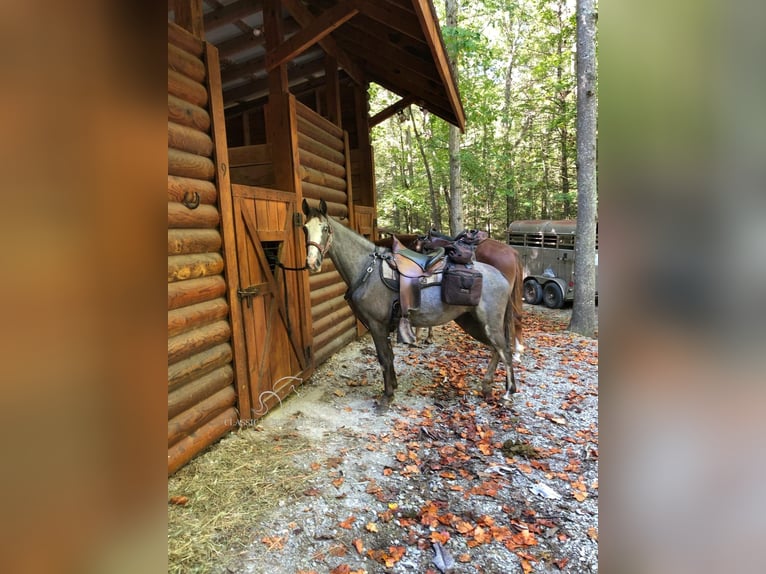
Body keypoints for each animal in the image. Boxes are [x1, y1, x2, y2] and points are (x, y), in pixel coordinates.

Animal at [304, 200, 520, 408]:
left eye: (325, 228)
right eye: (305, 228)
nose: (312, 262)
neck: (368, 270)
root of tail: (501, 276)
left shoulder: (377, 325)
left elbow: (383, 358)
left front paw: (387, 397)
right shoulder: (384, 326)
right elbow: (390, 356)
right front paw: (393, 386)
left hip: (489, 324)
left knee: (505, 350)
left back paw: (508, 393)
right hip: (471, 322)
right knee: (495, 349)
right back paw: (487, 387)